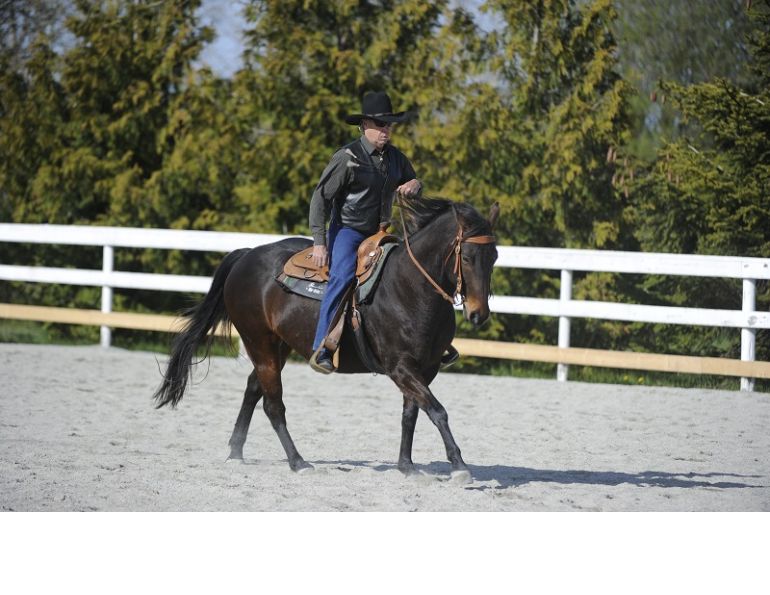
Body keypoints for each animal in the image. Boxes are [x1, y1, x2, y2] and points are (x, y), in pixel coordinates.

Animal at [152, 196, 499, 482]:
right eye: (468, 257)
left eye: (494, 256)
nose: (478, 313)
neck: (408, 287)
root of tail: (246, 255)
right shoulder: (400, 367)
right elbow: (437, 411)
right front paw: (459, 465)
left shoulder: (424, 368)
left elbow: (412, 414)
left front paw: (407, 466)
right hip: (259, 343)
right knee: (273, 405)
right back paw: (298, 462)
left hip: (277, 347)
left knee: (253, 390)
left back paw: (236, 452)